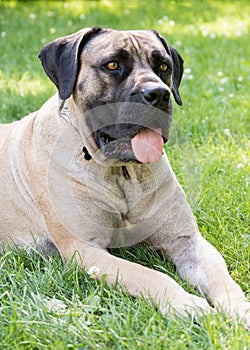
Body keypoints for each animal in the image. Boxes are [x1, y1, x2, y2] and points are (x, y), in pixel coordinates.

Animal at [0, 27, 250, 328]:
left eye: (163, 67)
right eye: (112, 65)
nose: (159, 94)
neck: (121, 172)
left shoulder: (185, 239)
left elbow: (222, 279)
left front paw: (241, 309)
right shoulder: (86, 249)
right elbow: (149, 275)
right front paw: (187, 304)